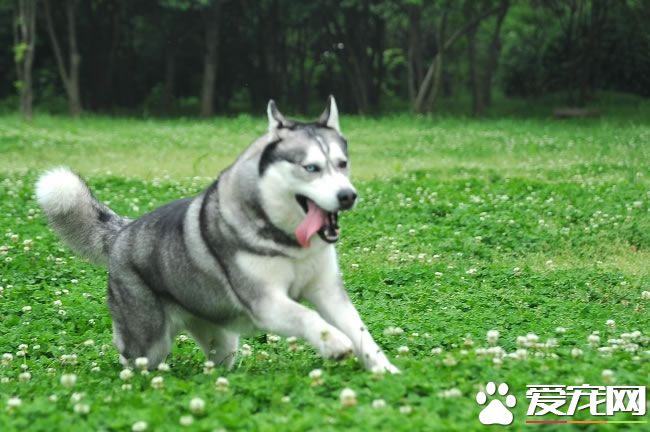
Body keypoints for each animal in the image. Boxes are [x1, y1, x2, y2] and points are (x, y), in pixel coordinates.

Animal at [38, 97, 398, 372]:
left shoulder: (328, 291)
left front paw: (385, 370)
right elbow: (308, 316)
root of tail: (124, 231)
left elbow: (361, 332)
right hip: (148, 342)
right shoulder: (266, 302)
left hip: (222, 338)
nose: (347, 196)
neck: (288, 242)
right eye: (311, 168)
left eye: (342, 163)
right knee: (133, 361)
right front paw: (335, 343)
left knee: (218, 364)